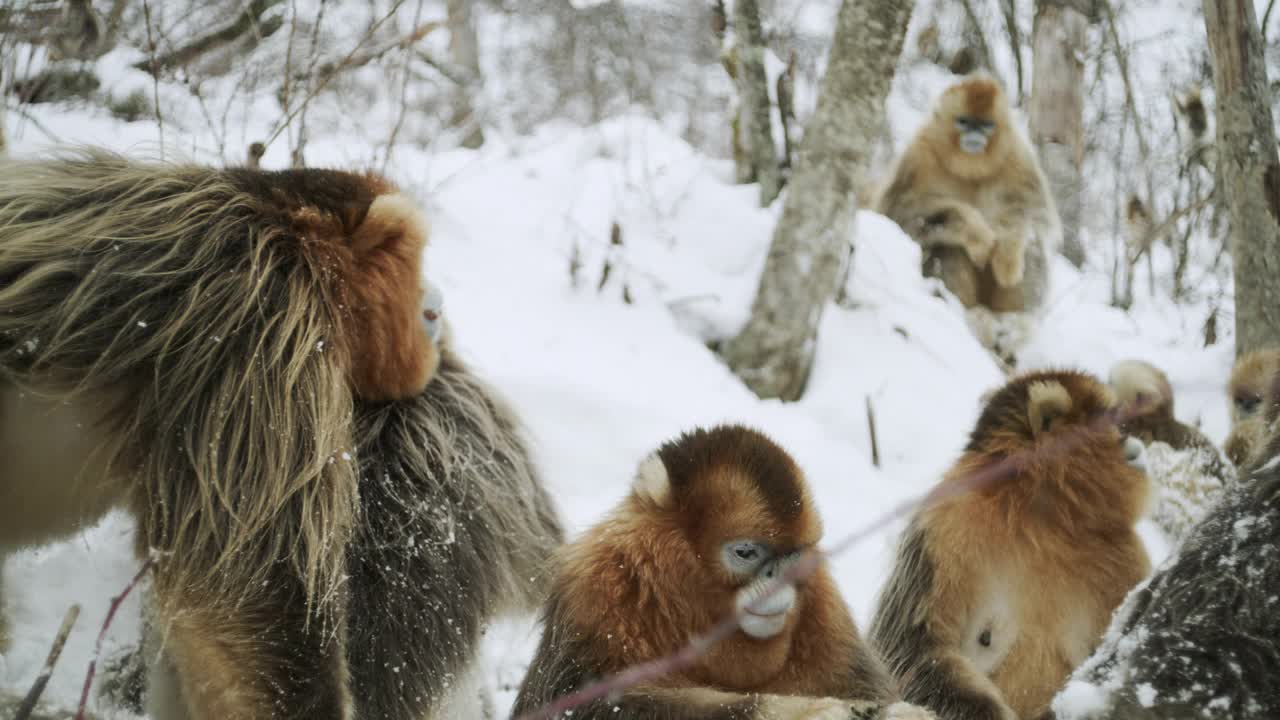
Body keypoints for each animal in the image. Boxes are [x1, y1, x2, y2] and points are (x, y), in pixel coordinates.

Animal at [509, 422, 931, 717]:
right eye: (745, 552)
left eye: (794, 557)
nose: (779, 579)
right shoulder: (597, 594)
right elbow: (585, 705)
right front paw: (797, 711)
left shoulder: (826, 611)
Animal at [870, 72, 1059, 313]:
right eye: (964, 122)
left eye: (986, 125)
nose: (975, 135)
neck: (970, 168)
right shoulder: (918, 156)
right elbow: (899, 216)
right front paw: (977, 233)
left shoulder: (1017, 156)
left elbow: (1032, 212)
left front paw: (1008, 257)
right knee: (947, 244)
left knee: (1033, 244)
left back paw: (1012, 317)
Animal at [870, 368, 1152, 717]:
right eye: (1116, 425)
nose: (1138, 448)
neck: (1044, 521)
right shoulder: (944, 526)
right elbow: (912, 651)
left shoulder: (1126, 558)